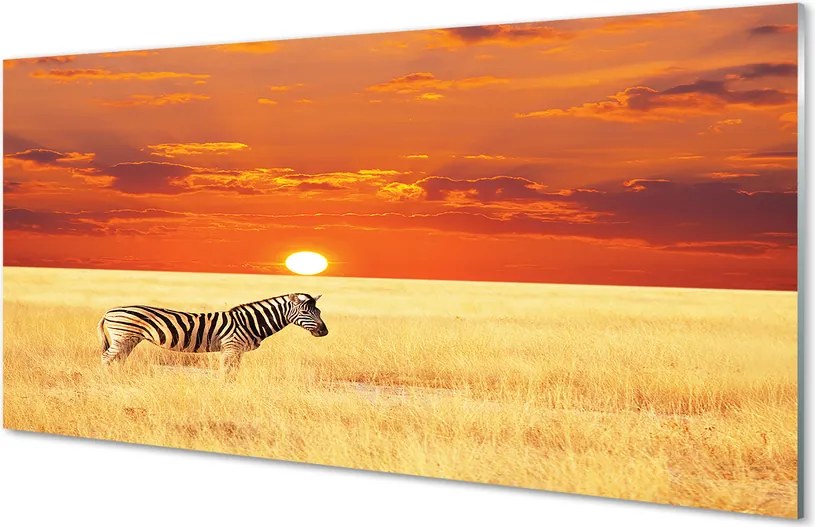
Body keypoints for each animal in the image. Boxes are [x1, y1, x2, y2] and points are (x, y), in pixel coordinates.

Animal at [97, 293, 328, 378]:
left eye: (319, 311)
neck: (250, 322)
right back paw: (107, 379)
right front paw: (226, 389)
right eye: (306, 312)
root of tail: (109, 311)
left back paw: (120, 378)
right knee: (106, 358)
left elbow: (234, 372)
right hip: (122, 336)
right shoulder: (231, 347)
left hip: (130, 339)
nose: (324, 331)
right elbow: (227, 372)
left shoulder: (237, 351)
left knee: (119, 359)